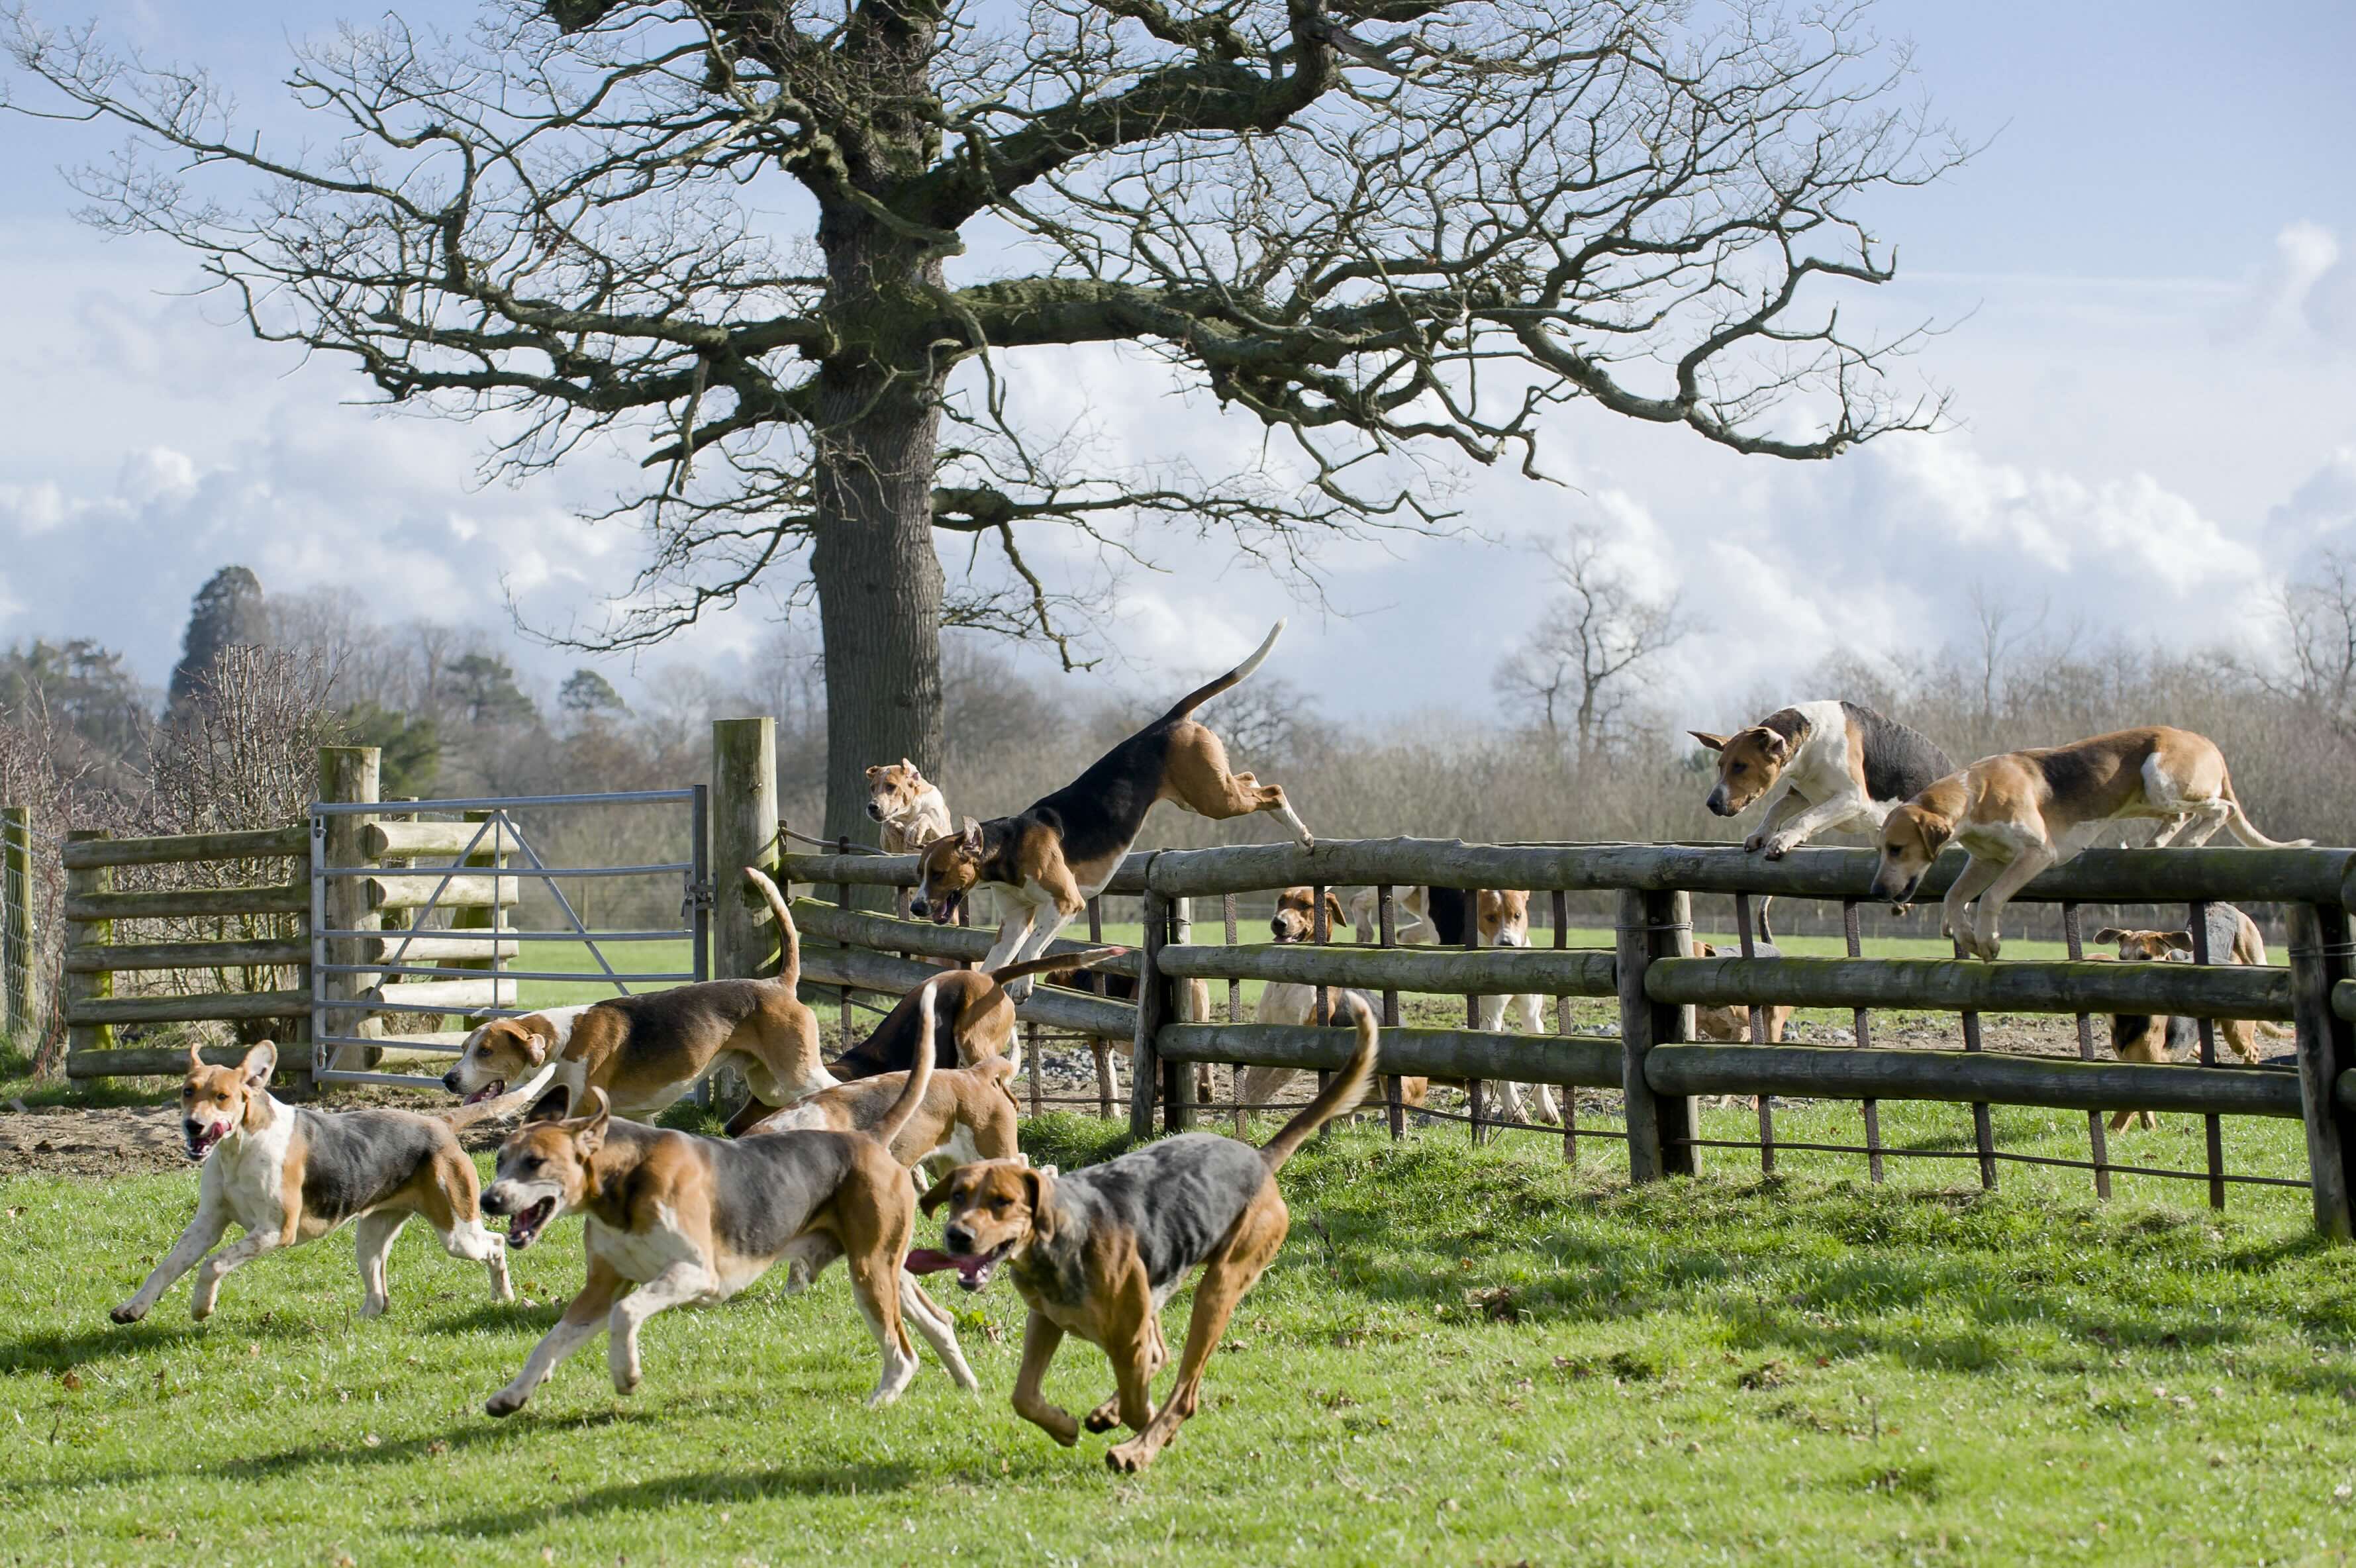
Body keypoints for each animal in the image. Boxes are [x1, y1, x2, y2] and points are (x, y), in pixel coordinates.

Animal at [111, 1036, 520, 1318]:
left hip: (456, 1232)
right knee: (379, 1294)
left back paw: (505, 1297)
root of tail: (440, 1122)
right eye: (187, 1091)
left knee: (496, 1244)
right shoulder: (206, 1226)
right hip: (370, 1237)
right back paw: (359, 1322)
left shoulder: (276, 1231)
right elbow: (165, 1268)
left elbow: (213, 1263)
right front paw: (133, 1308)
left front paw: (201, 1307)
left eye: (223, 1097)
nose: (192, 1126)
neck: (240, 1148)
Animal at [478, 984, 975, 1412]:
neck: (625, 1183)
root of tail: (866, 1138)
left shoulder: (694, 1274)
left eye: (536, 1163)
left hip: (869, 1273)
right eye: (501, 1160)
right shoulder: (601, 1286)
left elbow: (625, 1314)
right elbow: (552, 1340)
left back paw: (881, 1400)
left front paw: (626, 1373)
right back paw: (965, 1383)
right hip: (884, 1269)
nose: (488, 1201)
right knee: (939, 1321)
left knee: (902, 1354)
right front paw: (513, 1394)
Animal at [871, 758, 952, 918]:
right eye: (872, 788)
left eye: (891, 786)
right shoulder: (893, 851)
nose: (872, 807)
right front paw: (896, 826)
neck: (909, 813)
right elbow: (889, 825)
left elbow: (925, 817)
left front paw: (916, 828)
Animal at [900, 989, 1375, 1469]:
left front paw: (1144, 1432)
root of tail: (1258, 1158)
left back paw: (1139, 1446)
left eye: (1002, 1202)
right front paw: (1066, 1426)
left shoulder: (1128, 1341)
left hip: (1219, 1288)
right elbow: (1024, 1397)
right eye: (959, 1196)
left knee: (1185, 1391)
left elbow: (1139, 1400)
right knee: (1162, 1358)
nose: (956, 1236)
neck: (1059, 1248)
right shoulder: (1046, 1322)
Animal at [1875, 725, 2318, 960]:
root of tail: (2208, 743)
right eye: (1881, 849)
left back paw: (2188, 840)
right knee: (2181, 817)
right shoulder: (1986, 861)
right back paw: (2156, 845)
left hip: (2160, 778)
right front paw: (1965, 934)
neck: (1973, 794)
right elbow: (1954, 896)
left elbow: (1991, 898)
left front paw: (1987, 938)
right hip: (2148, 797)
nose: (1877, 891)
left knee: (2219, 809)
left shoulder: (2036, 854)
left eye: (1897, 849)